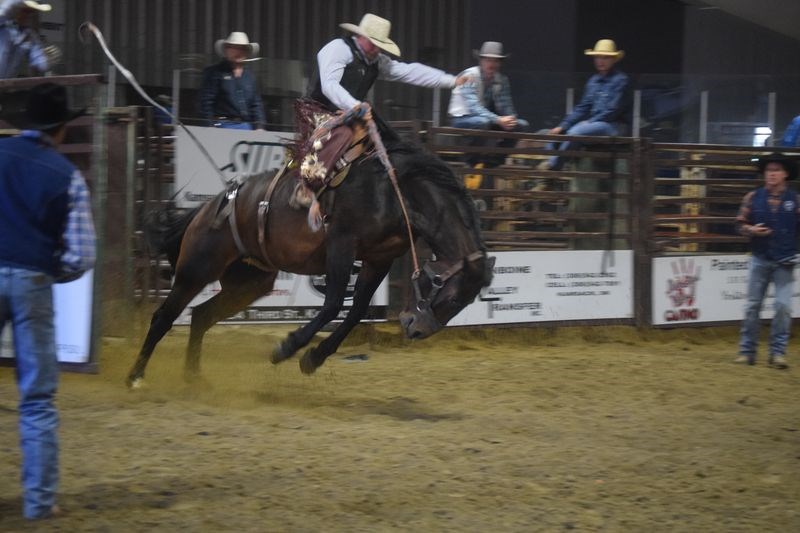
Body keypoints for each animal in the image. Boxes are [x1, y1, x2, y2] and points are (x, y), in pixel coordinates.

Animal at [127, 129, 490, 386]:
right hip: (198, 267)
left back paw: (193, 377)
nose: (417, 330)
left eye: (465, 303)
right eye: (449, 292)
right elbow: (332, 305)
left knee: (201, 316)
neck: (398, 192)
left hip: (250, 282)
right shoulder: (342, 244)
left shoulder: (379, 259)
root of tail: (208, 206)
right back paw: (135, 377)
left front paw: (313, 358)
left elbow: (356, 311)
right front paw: (287, 349)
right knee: (163, 317)